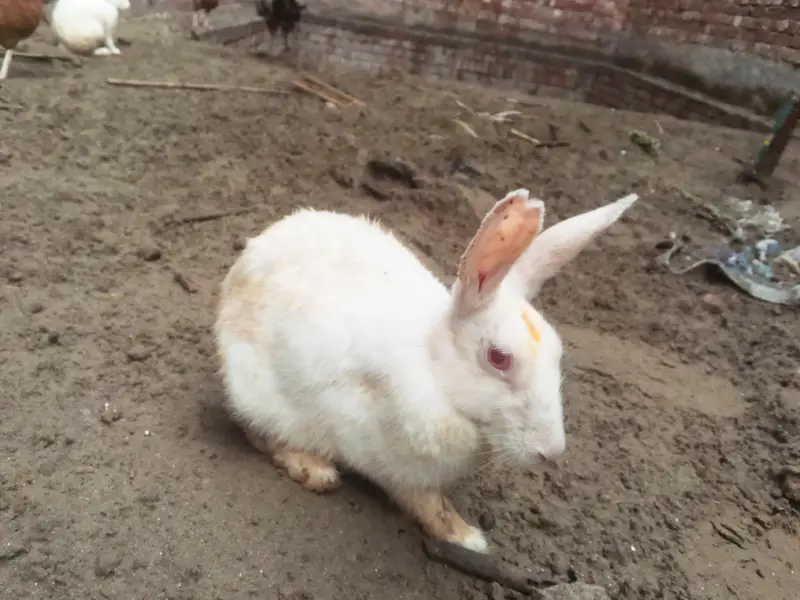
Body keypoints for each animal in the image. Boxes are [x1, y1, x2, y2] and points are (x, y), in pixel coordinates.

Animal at [214, 189, 639, 553]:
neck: (436, 374)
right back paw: (315, 470)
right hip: (261, 394)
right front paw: (468, 538)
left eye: (557, 352)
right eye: (499, 358)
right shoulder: (397, 465)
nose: (551, 452)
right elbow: (428, 505)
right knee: (257, 431)